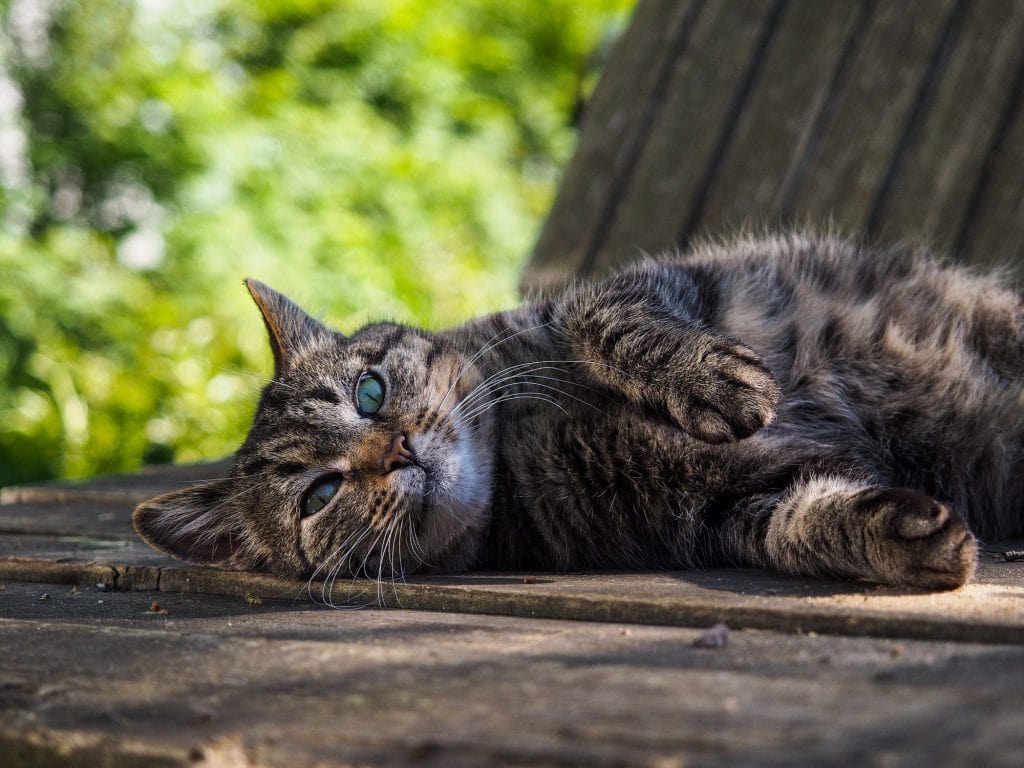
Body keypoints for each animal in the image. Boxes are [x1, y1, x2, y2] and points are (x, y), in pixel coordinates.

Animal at [134, 231, 1024, 593]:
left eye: (370, 393)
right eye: (318, 495)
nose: (395, 452)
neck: (525, 445)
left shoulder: (636, 288)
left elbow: (607, 315)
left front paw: (722, 383)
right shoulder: (722, 508)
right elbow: (805, 522)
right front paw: (907, 535)